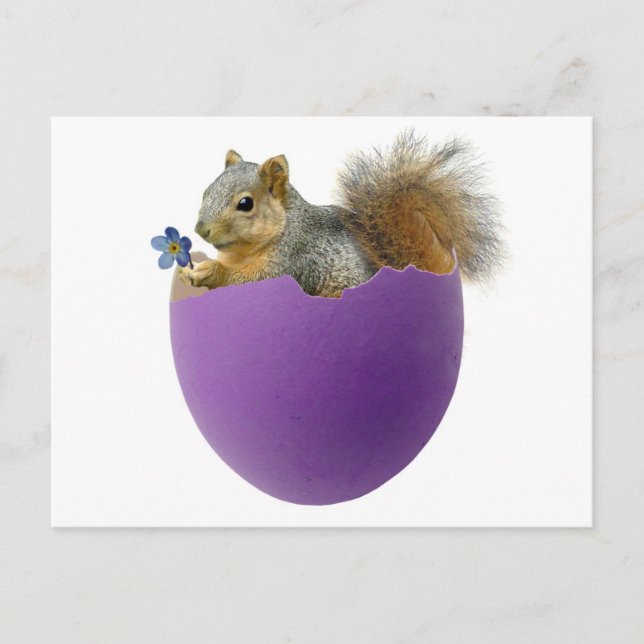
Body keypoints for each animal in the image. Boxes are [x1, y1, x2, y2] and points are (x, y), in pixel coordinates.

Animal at [178, 130, 504, 297]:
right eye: (206, 191)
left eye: (246, 204)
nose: (200, 229)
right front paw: (186, 272)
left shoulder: (297, 260)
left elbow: (258, 280)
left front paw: (211, 272)